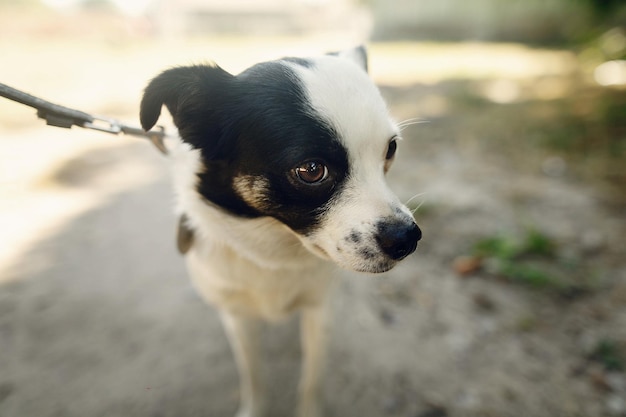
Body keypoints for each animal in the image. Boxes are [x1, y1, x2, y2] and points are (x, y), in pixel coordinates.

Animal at [140, 47, 422, 416]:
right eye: (312, 169)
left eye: (390, 149)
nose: (408, 239)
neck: (273, 248)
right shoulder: (238, 317)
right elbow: (253, 374)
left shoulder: (318, 310)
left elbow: (312, 378)